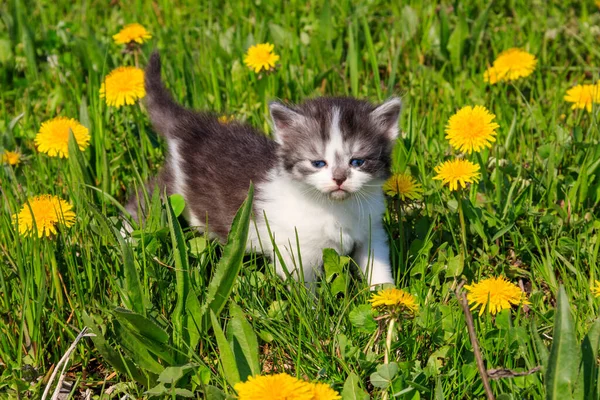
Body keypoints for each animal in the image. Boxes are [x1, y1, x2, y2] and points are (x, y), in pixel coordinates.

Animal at [127, 51, 400, 286]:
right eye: (318, 163)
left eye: (357, 162)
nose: (339, 178)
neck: (335, 208)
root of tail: (188, 124)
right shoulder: (295, 247)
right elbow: (303, 286)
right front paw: (312, 312)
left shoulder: (371, 228)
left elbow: (377, 264)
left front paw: (386, 298)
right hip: (172, 192)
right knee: (142, 201)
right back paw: (127, 235)